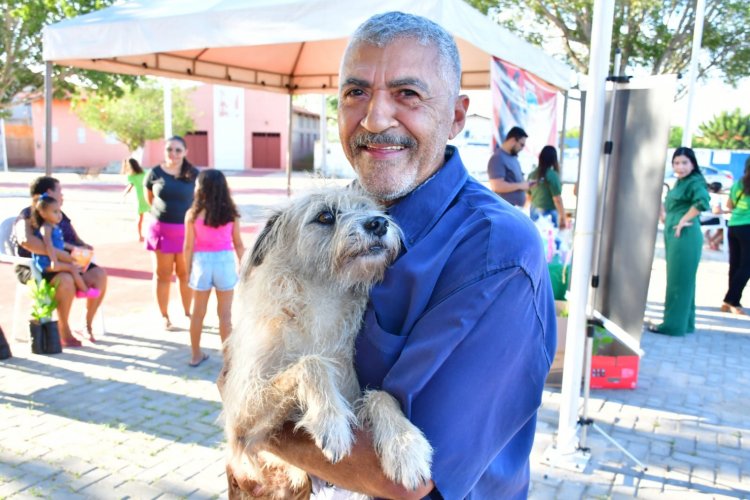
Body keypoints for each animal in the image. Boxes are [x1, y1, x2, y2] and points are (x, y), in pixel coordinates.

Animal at [223, 187, 434, 496]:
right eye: (325, 216)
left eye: (368, 209)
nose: (378, 223)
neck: (321, 303)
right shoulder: (239, 414)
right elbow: (312, 363)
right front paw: (330, 419)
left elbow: (381, 395)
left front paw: (405, 445)